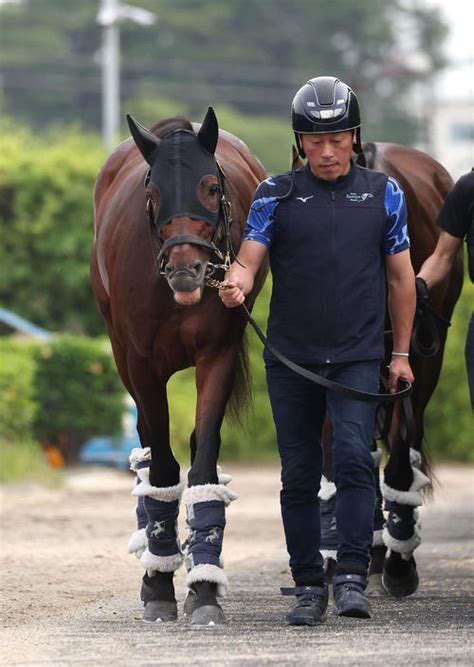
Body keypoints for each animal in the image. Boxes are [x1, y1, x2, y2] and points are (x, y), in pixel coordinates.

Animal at [89, 108, 266, 628]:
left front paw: (204, 587)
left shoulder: (217, 354)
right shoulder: (140, 364)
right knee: (150, 449)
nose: (186, 271)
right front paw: (159, 583)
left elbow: (202, 460)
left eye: (210, 187)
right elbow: (164, 469)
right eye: (152, 196)